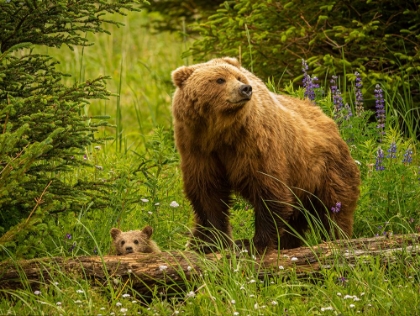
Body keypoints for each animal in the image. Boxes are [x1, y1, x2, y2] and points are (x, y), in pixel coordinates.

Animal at [171, 57, 360, 254]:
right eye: (220, 79)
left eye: (239, 77)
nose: (245, 89)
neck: (221, 132)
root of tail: (329, 119)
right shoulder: (197, 148)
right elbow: (207, 193)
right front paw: (211, 242)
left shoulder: (255, 144)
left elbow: (268, 189)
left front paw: (254, 243)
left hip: (324, 169)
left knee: (333, 208)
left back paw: (336, 237)